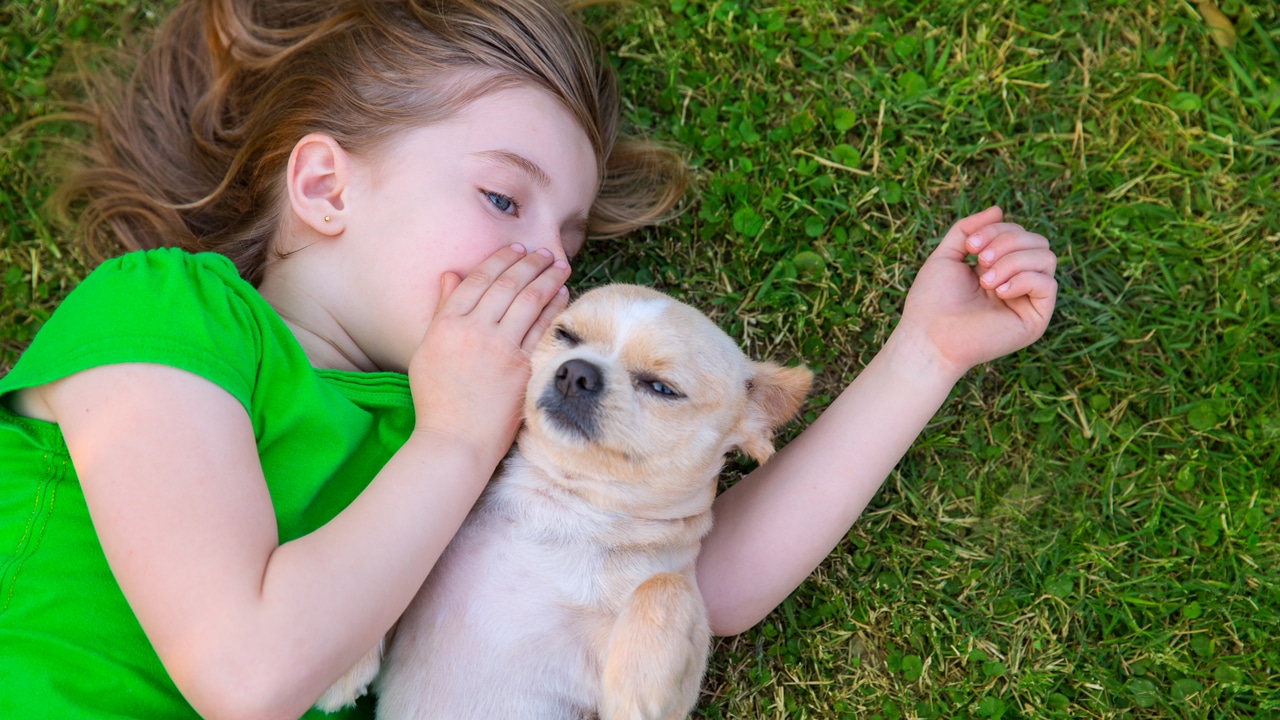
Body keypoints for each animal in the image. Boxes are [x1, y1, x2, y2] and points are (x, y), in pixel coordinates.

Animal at [325, 283, 814, 712]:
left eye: (661, 388)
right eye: (565, 335)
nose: (577, 371)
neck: (563, 506)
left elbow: (664, 584)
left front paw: (638, 685)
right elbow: (391, 573)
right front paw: (344, 664)